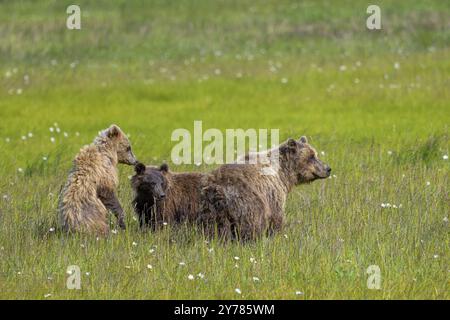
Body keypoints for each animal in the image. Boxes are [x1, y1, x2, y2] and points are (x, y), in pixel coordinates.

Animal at [199, 136, 328, 241]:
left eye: (316, 155)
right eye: (311, 157)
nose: (328, 169)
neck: (284, 173)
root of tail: (217, 188)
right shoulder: (273, 192)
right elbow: (277, 216)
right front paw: (276, 235)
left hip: (210, 210)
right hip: (247, 202)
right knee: (252, 224)